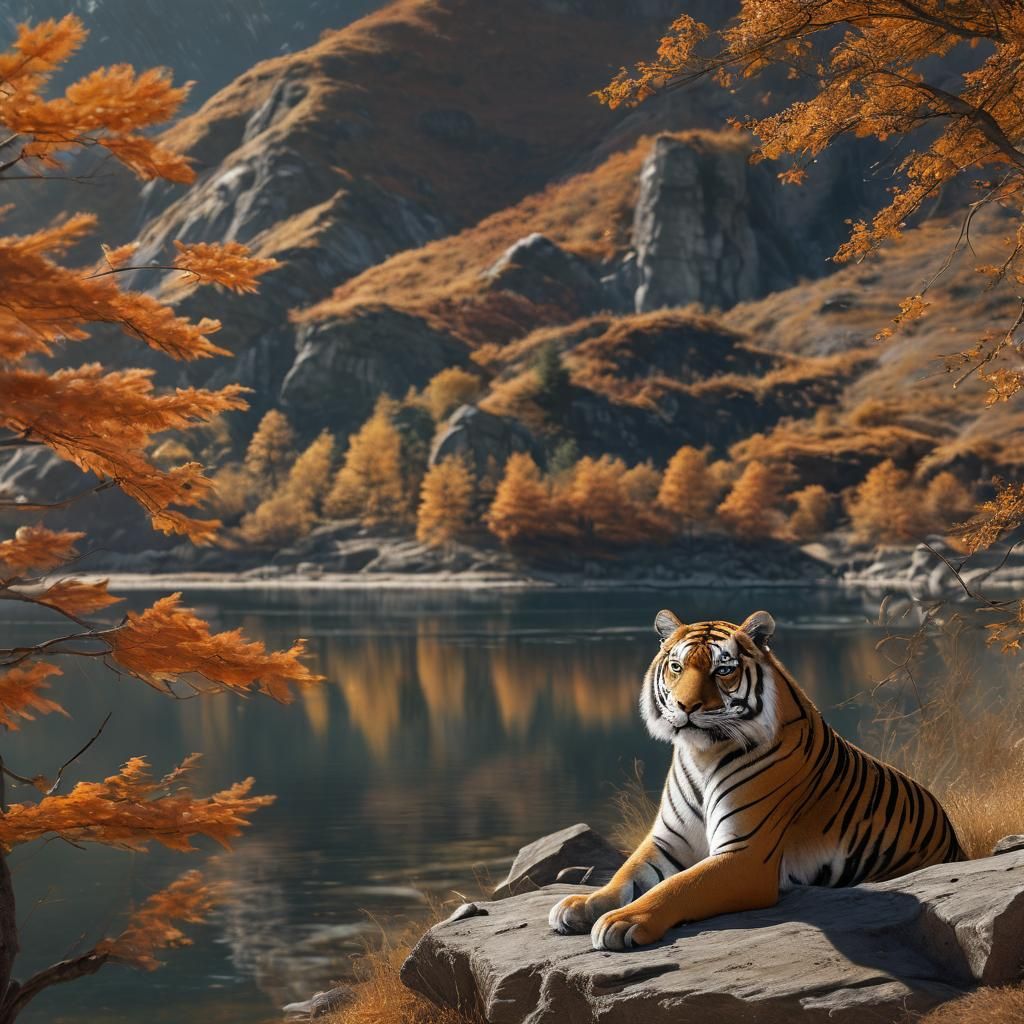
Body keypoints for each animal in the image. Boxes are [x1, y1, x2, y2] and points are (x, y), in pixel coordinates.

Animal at [549, 608, 964, 951]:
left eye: (723, 670)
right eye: (677, 667)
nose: (685, 707)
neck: (701, 754)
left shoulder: (745, 855)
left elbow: (677, 886)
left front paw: (622, 921)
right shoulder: (666, 842)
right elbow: (625, 876)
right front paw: (580, 904)